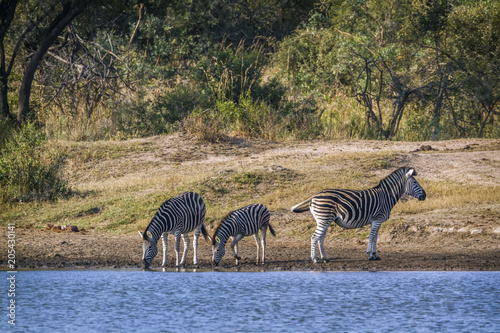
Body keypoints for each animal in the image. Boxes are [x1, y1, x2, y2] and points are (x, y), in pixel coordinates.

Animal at [290, 166, 426, 262]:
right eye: (415, 183)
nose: (425, 196)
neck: (386, 196)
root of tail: (313, 196)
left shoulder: (377, 221)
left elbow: (375, 238)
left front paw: (376, 255)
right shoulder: (377, 219)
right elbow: (371, 237)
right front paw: (370, 255)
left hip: (324, 219)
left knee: (320, 238)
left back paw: (325, 258)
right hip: (324, 219)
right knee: (314, 237)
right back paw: (314, 259)